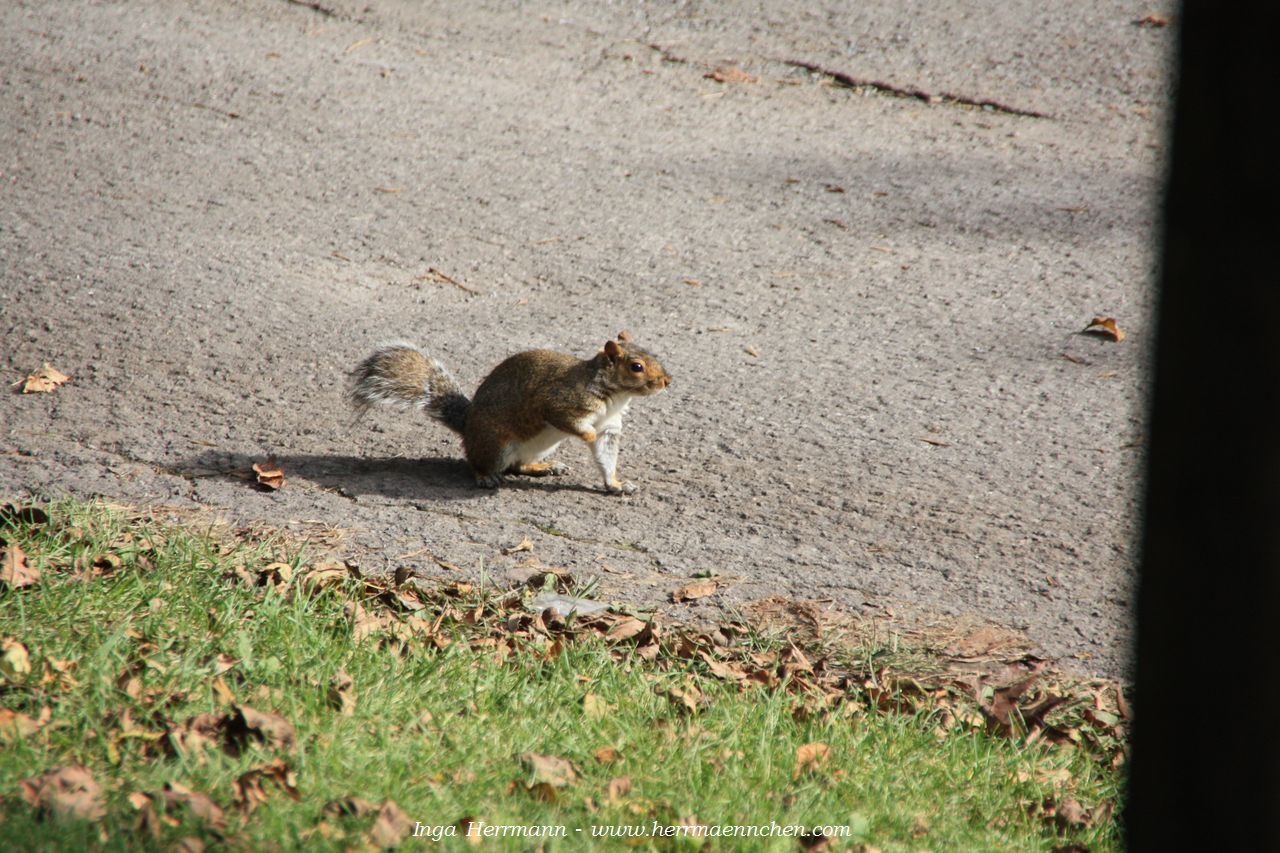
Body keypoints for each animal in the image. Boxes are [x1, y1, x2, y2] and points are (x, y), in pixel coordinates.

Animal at [345, 330, 675, 491]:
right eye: (636, 367)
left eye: (655, 355)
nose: (667, 381)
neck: (615, 396)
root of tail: (468, 428)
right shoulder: (560, 401)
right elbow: (572, 422)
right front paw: (587, 436)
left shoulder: (611, 427)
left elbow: (606, 458)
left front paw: (616, 485)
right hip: (495, 443)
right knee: (482, 463)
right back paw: (485, 478)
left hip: (537, 447)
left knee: (517, 466)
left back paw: (544, 467)